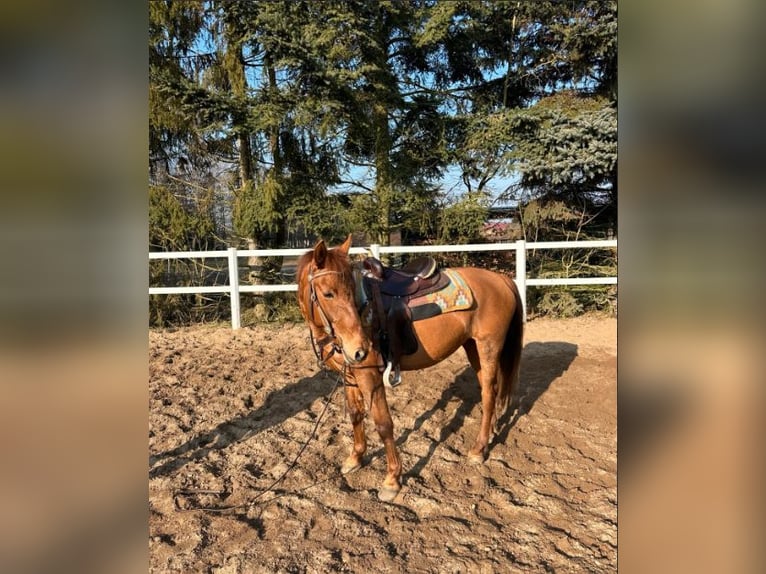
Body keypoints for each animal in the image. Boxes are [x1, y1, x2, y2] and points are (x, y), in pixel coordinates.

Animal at [296, 236, 524, 502]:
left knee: (488, 394)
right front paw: (355, 458)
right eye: (328, 293)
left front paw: (392, 480)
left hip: (489, 346)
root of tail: (501, 279)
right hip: (473, 347)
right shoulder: (349, 375)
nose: (360, 349)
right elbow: (355, 414)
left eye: (351, 291)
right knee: (493, 391)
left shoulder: (369, 376)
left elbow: (383, 424)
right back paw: (491, 434)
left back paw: (478, 449)